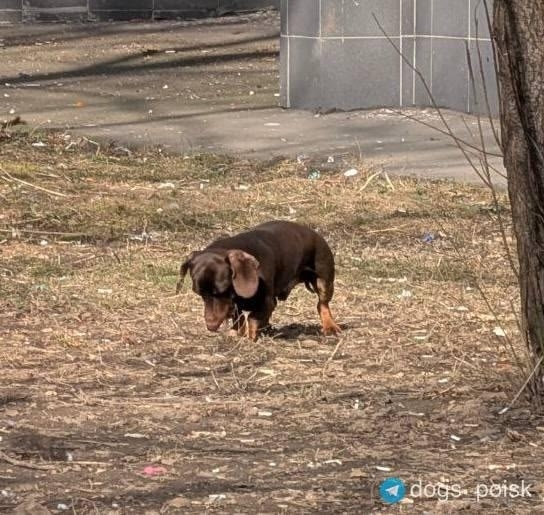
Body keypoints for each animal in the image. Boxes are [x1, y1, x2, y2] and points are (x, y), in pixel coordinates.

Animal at [177, 221, 341, 340]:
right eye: (199, 294)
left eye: (221, 291)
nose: (211, 326)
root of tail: (314, 233)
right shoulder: (235, 305)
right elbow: (239, 318)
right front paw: (237, 333)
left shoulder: (266, 302)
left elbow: (252, 317)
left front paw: (250, 337)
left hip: (324, 281)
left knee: (322, 304)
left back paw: (330, 326)